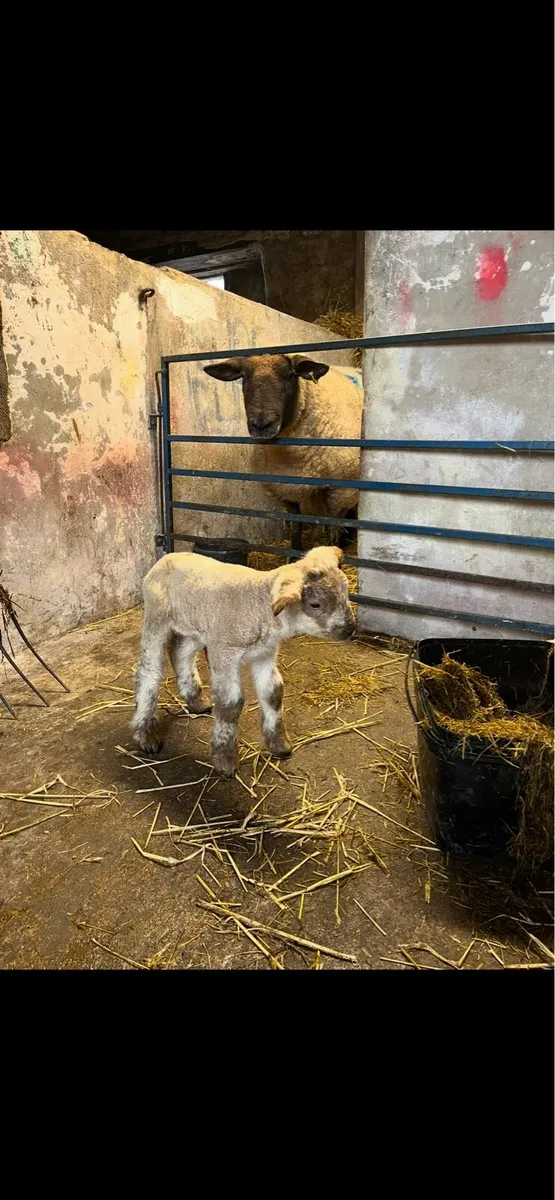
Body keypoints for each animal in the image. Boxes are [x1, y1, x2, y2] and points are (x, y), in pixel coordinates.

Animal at [131, 544, 355, 778]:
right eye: (315, 604)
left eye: (345, 594)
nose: (350, 629)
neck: (257, 604)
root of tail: (167, 557)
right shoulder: (224, 652)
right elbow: (231, 702)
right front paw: (226, 761)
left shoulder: (265, 653)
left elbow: (273, 692)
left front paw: (279, 745)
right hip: (156, 618)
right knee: (149, 670)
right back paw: (146, 735)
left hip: (196, 626)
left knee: (180, 652)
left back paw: (196, 701)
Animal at [203, 354, 363, 551]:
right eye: (244, 377)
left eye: (290, 376)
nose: (261, 425)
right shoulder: (286, 488)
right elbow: (295, 526)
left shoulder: (343, 490)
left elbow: (333, 530)